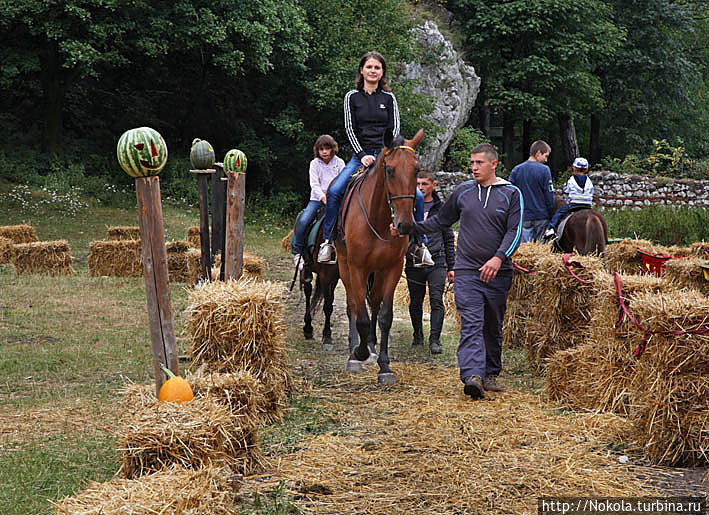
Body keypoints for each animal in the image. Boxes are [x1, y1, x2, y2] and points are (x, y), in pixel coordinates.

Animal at [336, 127, 420, 384]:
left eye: (417, 170)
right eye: (390, 170)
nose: (405, 225)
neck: (379, 220)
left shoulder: (392, 268)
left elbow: (385, 316)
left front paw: (384, 365)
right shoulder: (356, 268)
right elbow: (360, 316)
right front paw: (358, 353)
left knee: (373, 302)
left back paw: (372, 349)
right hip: (344, 266)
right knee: (353, 306)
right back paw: (356, 351)